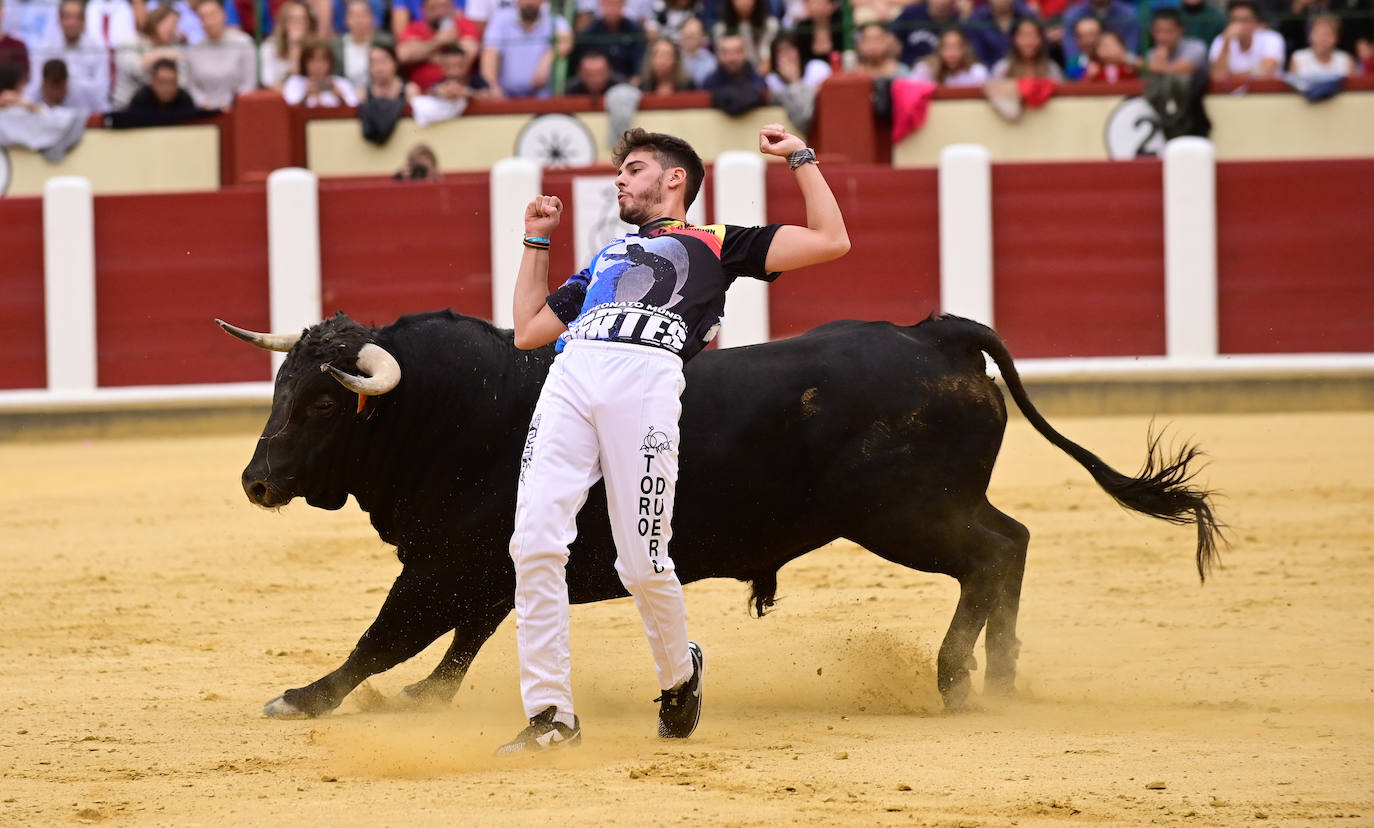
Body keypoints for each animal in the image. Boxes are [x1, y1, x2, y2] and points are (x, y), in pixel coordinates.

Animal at [222, 310, 1225, 719]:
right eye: (280, 386)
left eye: (325, 402)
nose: (256, 483)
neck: (448, 407)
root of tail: (934, 334)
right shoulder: (488, 568)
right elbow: (463, 640)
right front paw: (425, 698)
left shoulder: (443, 564)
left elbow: (383, 637)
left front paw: (301, 698)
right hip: (924, 510)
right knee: (1009, 546)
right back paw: (1002, 675)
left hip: (905, 514)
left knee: (994, 552)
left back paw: (955, 677)